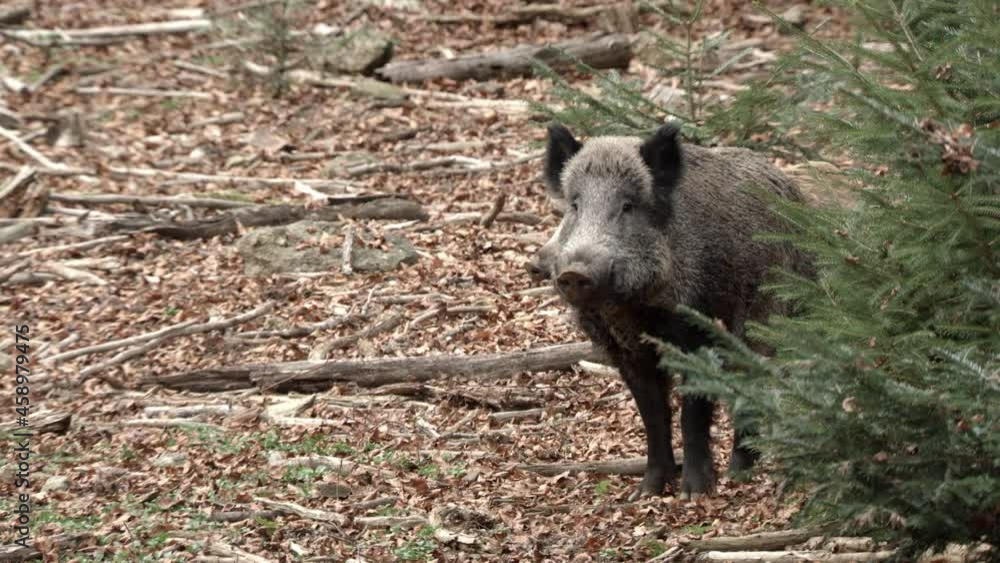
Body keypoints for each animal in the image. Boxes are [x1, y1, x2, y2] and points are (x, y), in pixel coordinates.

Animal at [529, 123, 812, 499]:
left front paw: (694, 493)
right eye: (575, 205)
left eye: (628, 206)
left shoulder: (697, 333)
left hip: (760, 315)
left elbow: (691, 412)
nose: (574, 272)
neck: (633, 308)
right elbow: (652, 415)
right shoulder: (625, 350)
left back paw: (739, 473)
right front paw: (645, 492)